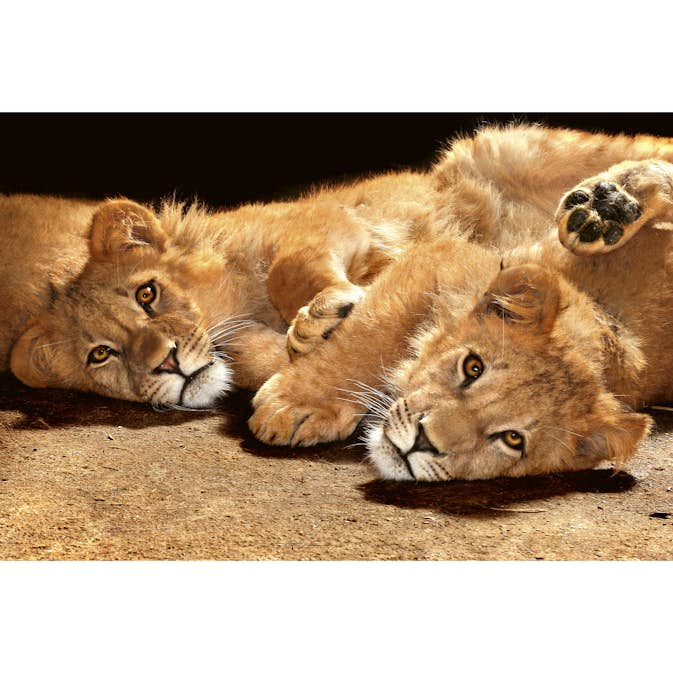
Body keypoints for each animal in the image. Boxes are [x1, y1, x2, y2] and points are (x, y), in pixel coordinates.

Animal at [248, 125, 673, 481]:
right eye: (473, 368)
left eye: (513, 439)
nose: (423, 443)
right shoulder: (440, 254)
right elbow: (362, 332)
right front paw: (297, 393)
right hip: (509, 149)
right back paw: (606, 207)